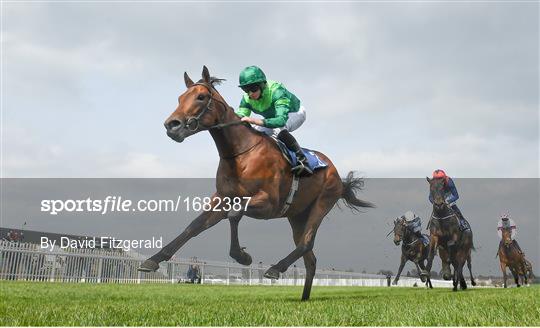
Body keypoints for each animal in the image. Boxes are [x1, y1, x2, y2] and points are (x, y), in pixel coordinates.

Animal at [139, 66, 374, 300]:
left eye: (201, 97)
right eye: (180, 98)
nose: (172, 125)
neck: (240, 154)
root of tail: (336, 173)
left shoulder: (269, 204)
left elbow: (234, 214)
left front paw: (242, 256)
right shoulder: (222, 199)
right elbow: (194, 226)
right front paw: (153, 260)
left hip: (322, 202)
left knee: (307, 242)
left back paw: (276, 269)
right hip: (297, 216)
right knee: (310, 258)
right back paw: (304, 298)